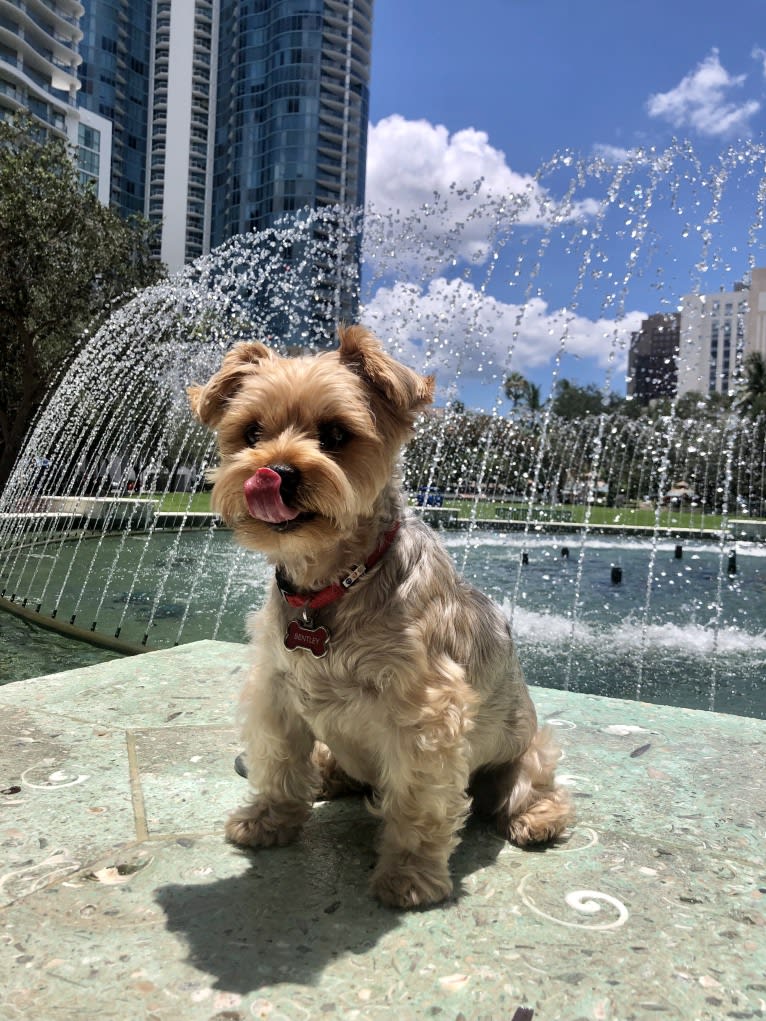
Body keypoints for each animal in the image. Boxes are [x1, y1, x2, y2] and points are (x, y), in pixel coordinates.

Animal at [188, 322, 571, 906]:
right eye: (251, 432)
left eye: (336, 434)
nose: (274, 471)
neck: (331, 582)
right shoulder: (276, 690)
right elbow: (279, 763)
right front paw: (270, 821)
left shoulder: (426, 711)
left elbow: (416, 798)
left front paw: (408, 875)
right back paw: (328, 776)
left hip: (526, 749)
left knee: (531, 784)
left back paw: (537, 817)